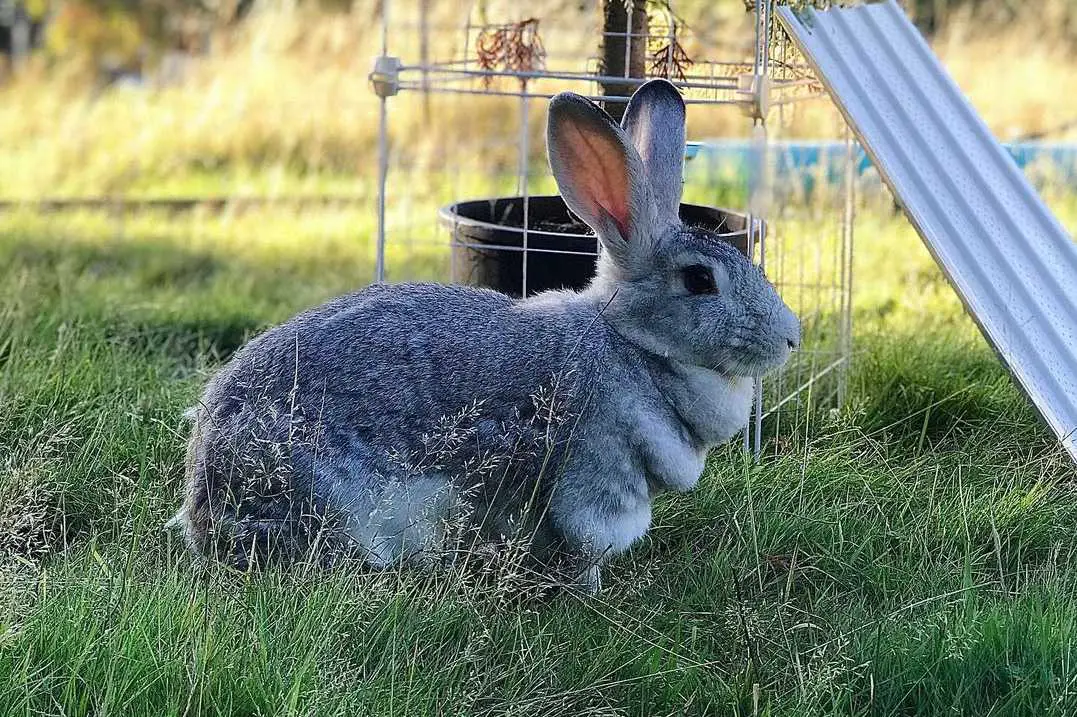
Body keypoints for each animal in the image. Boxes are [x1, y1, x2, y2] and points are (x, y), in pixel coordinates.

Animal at [176, 79, 801, 589]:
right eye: (700, 280)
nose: (791, 338)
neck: (631, 345)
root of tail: (206, 500)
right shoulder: (594, 482)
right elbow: (585, 550)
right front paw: (590, 591)